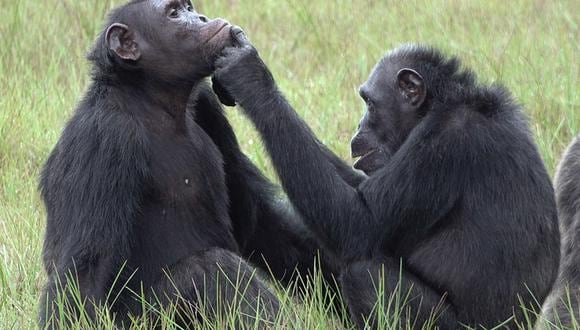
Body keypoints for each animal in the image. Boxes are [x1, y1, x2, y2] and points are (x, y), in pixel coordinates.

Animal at [38, 1, 336, 328]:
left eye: (188, 8)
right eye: (173, 14)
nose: (201, 18)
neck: (153, 100)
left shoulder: (207, 105)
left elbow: (258, 220)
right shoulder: (103, 139)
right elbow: (85, 268)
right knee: (211, 268)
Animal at [213, 30, 560, 328]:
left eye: (369, 102)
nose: (359, 125)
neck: (439, 105)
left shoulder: (445, 144)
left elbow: (359, 222)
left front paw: (250, 77)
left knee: (364, 274)